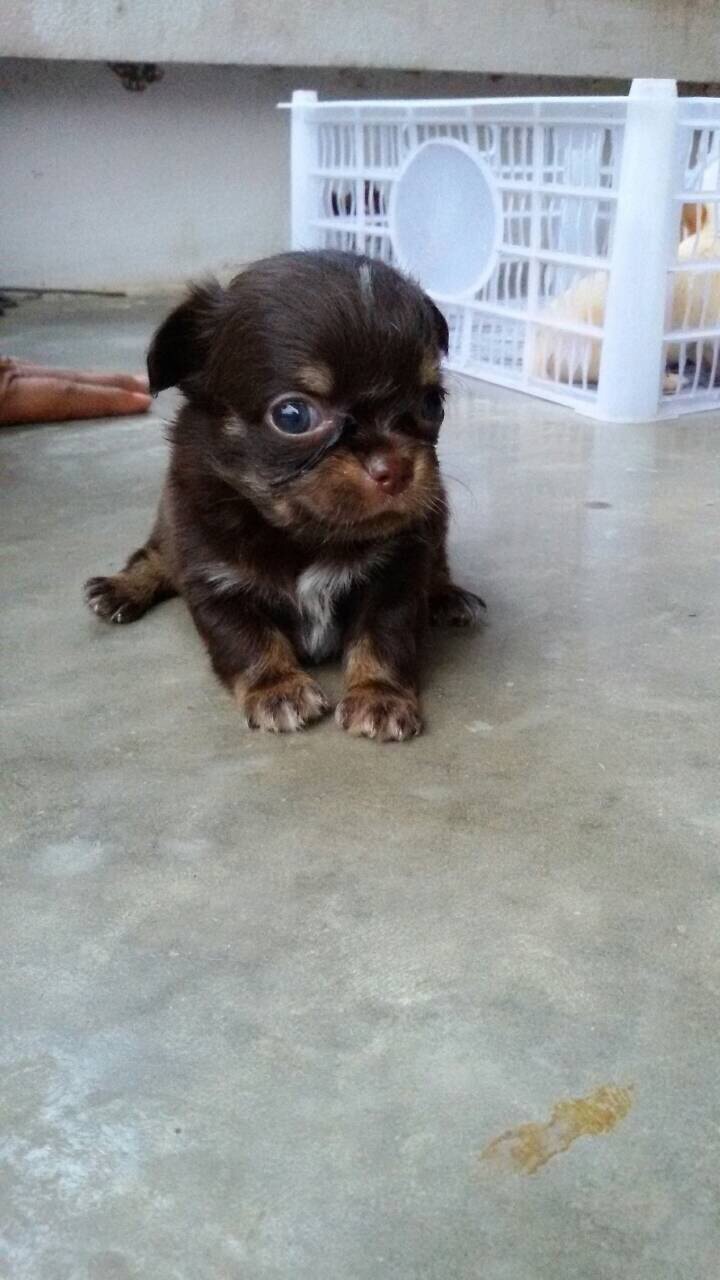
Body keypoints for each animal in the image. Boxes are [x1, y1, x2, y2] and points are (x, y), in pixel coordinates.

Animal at [85, 251, 485, 742]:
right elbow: (246, 639)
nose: (397, 467)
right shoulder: (213, 579)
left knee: (439, 564)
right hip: (169, 525)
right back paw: (121, 588)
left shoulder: (396, 572)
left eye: (433, 404)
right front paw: (278, 688)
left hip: (436, 516)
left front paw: (380, 695)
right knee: (154, 555)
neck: (303, 534)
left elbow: (383, 636)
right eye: (293, 416)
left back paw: (447, 596)